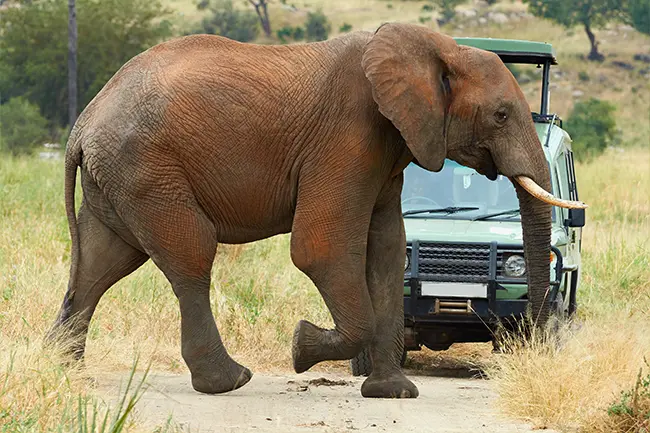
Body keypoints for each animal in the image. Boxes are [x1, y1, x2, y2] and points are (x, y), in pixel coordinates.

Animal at [48, 22, 584, 396]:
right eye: (501, 115)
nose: (536, 335)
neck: (436, 47)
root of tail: (82, 124)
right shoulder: (347, 137)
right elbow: (321, 250)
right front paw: (299, 346)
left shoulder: (386, 150)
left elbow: (387, 252)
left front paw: (393, 393)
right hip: (148, 170)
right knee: (190, 258)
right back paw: (229, 381)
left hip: (119, 179)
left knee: (100, 266)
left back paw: (64, 371)